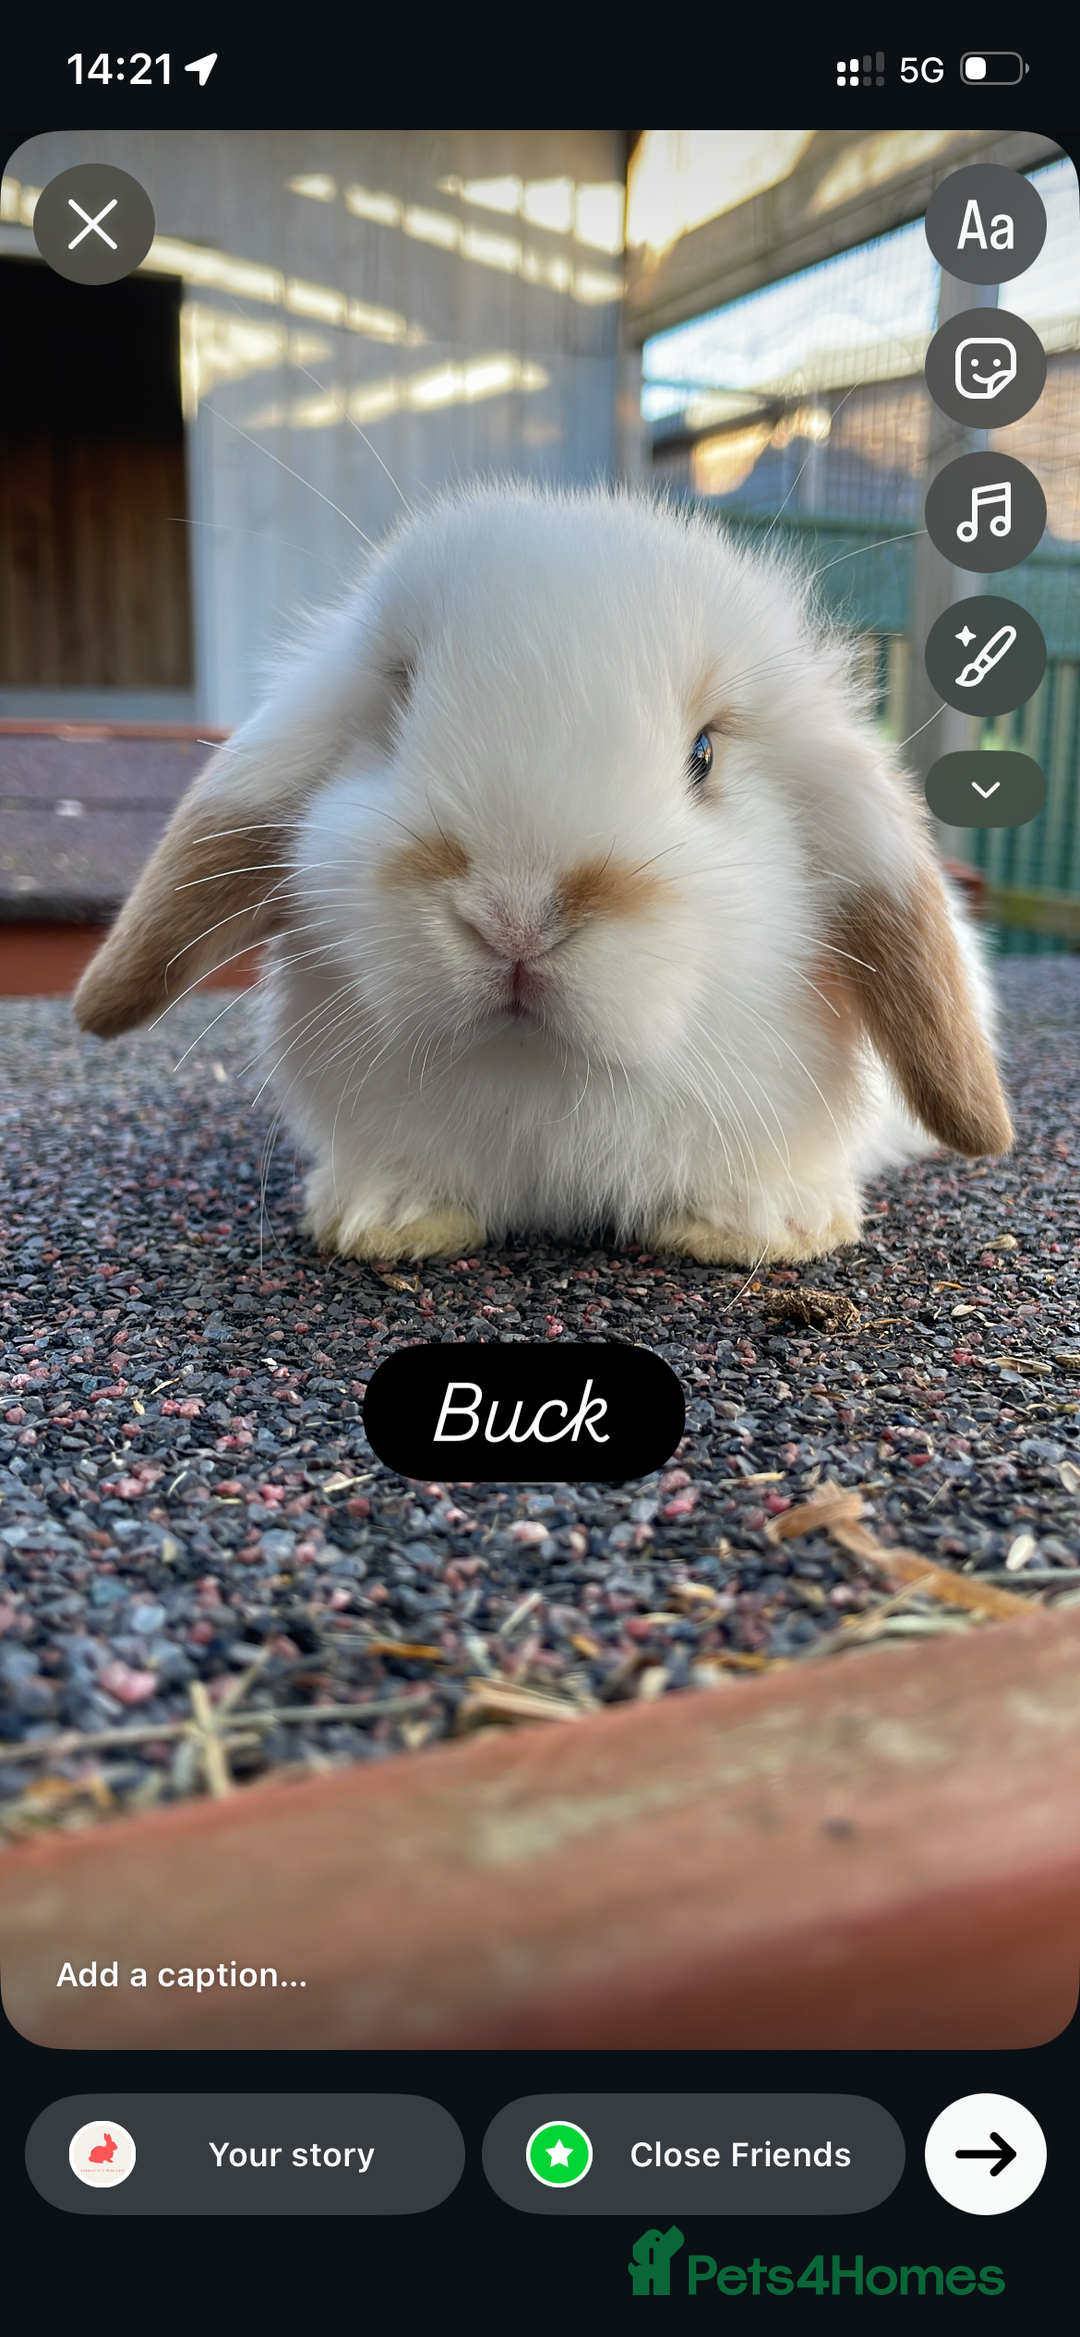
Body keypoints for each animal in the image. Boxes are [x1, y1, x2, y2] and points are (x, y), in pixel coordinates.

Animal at [74, 484, 1013, 1265]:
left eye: (703, 754)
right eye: (396, 710)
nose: (515, 915)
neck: (540, 1080)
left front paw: (761, 1228)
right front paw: (386, 1218)